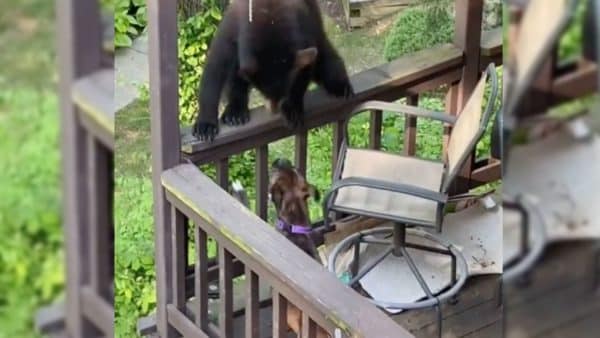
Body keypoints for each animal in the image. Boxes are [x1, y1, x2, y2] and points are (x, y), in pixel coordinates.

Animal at [192, 0, 354, 141]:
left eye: (283, 92)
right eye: (264, 92)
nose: (274, 109)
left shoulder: (305, 29)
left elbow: (304, 71)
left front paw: (292, 109)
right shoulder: (232, 27)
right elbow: (215, 69)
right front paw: (205, 125)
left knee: (326, 55)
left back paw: (341, 86)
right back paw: (236, 111)